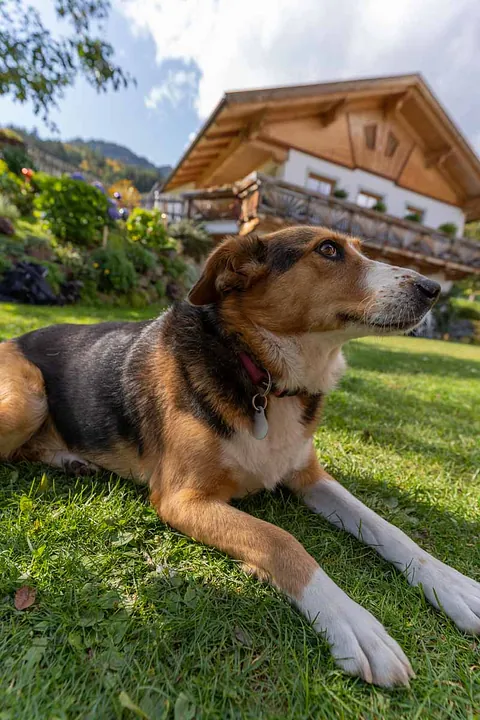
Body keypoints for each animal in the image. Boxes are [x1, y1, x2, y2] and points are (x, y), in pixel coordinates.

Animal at [1, 226, 478, 688]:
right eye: (328, 250)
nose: (432, 288)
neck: (262, 373)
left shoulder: (310, 476)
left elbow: (387, 527)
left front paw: (453, 585)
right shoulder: (183, 499)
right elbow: (280, 540)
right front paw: (355, 625)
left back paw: (73, 460)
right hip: (28, 397)